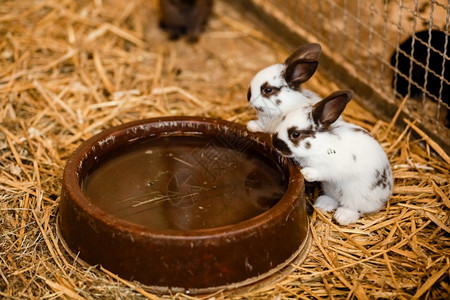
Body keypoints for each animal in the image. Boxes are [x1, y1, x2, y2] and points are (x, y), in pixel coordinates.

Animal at [270, 89, 394, 225]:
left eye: (295, 134)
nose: (274, 142)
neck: (320, 145)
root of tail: (386, 195)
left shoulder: (332, 167)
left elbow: (321, 171)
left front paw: (306, 173)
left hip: (356, 197)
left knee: (355, 209)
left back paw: (342, 216)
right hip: (331, 189)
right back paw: (322, 204)